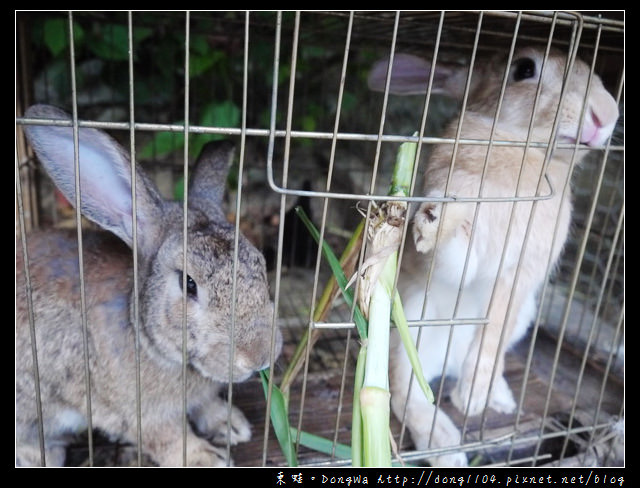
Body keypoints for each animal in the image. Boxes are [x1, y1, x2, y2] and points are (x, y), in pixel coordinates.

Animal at [16, 105, 282, 468]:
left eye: (260, 262)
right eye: (188, 284)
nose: (259, 356)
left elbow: (205, 406)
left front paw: (232, 425)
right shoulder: (141, 415)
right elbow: (169, 438)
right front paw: (207, 459)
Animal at [368, 46, 624, 466]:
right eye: (524, 68)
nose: (605, 114)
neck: (525, 155)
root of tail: (446, 363)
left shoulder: (521, 278)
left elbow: (493, 331)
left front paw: (473, 398)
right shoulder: (460, 262)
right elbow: (453, 250)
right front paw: (437, 218)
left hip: (524, 317)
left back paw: (496, 398)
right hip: (411, 327)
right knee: (405, 394)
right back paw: (448, 447)